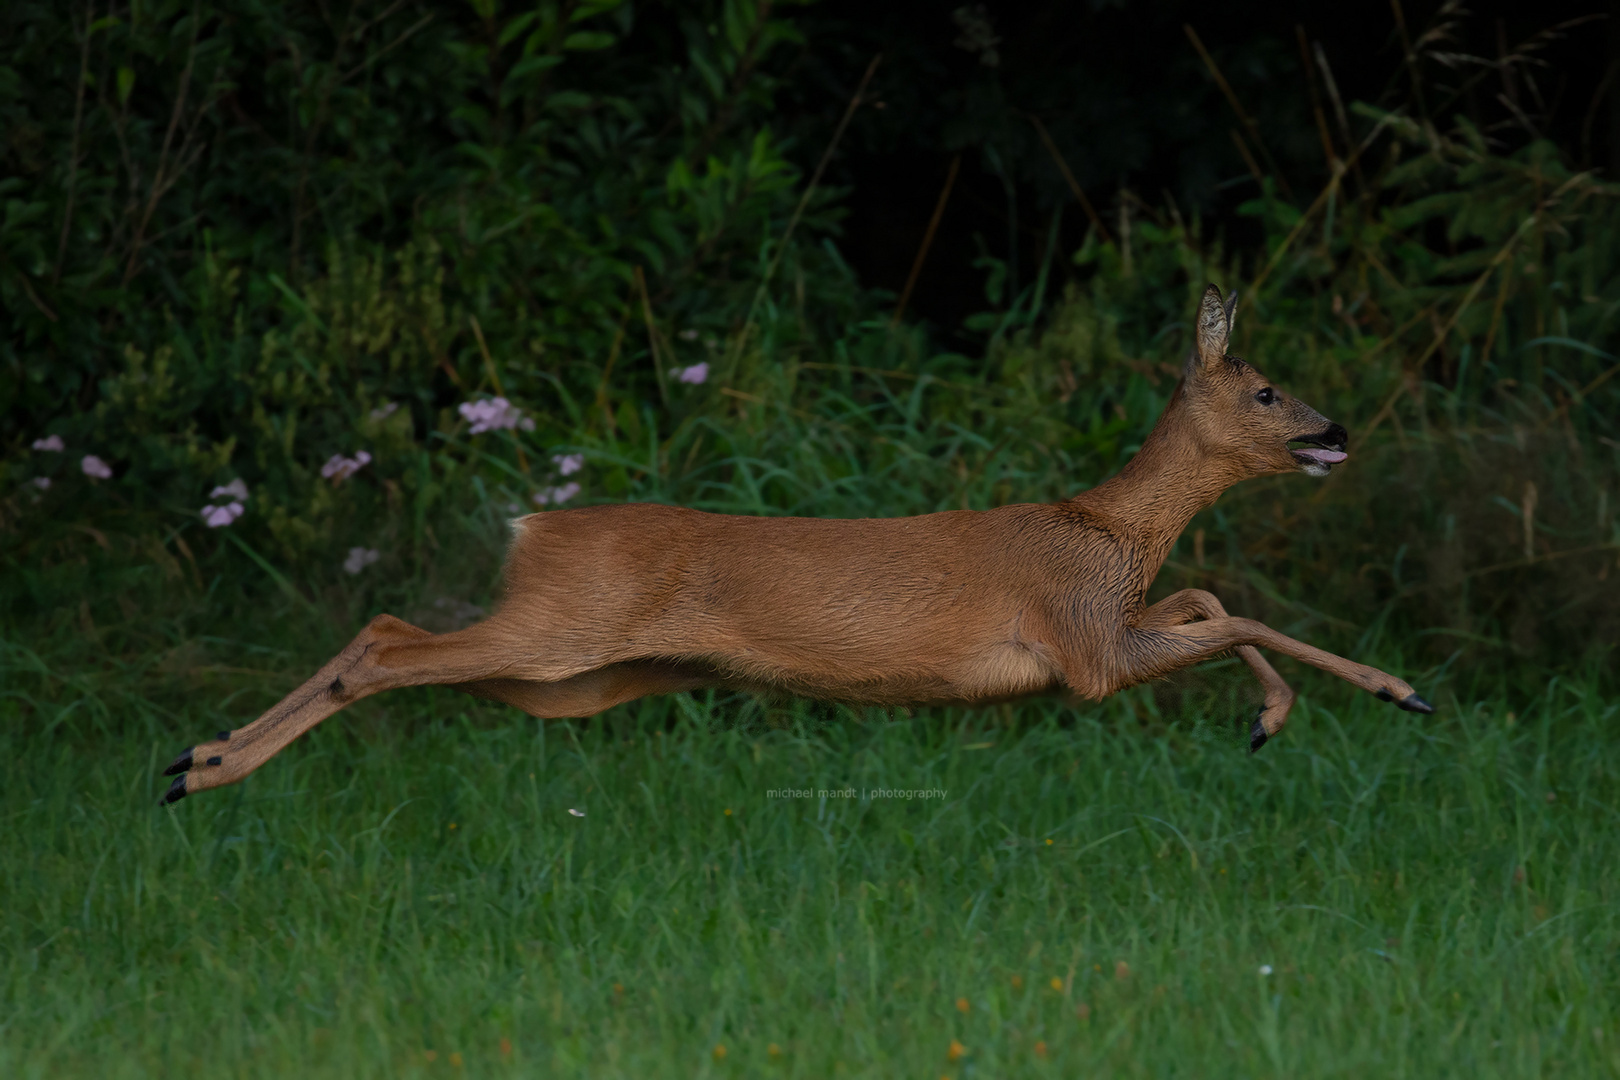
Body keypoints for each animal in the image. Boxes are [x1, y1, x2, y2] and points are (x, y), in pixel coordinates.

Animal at [161, 283, 1432, 806]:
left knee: (388, 643)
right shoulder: (1084, 654)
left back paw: (194, 762)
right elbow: (1236, 608)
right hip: (558, 632)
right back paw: (199, 768)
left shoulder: (1103, 628)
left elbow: (1211, 601)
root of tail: (538, 525)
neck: (1111, 530)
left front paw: (1271, 718)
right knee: (383, 639)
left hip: (568, 682)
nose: (1335, 431)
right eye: (1266, 390)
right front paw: (1397, 691)